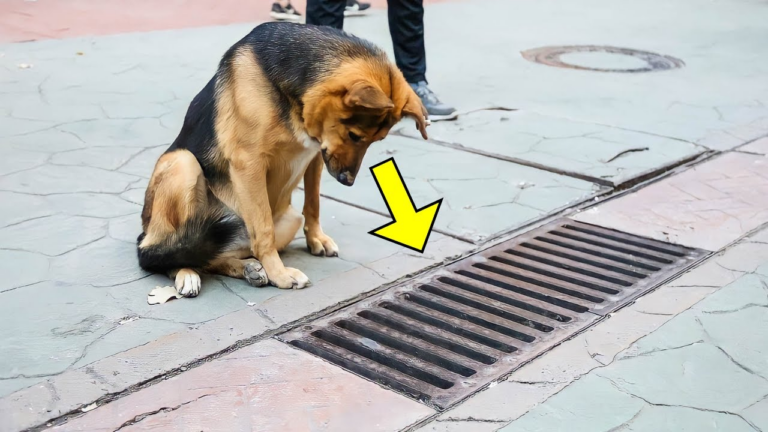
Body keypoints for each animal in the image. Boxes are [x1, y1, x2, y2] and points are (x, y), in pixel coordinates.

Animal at [136, 22, 428, 296]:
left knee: (214, 256)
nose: (347, 181)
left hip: (286, 221)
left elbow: (313, 204)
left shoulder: (316, 155)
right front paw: (280, 274)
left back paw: (248, 268)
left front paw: (316, 239)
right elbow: (264, 230)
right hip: (184, 164)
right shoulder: (249, 162)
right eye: (355, 135)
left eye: (376, 140)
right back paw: (187, 272)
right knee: (160, 254)